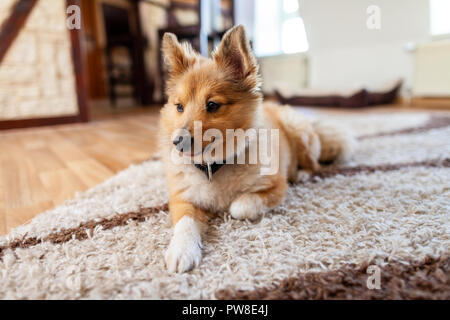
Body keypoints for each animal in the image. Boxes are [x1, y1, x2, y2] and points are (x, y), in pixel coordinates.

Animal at [158, 26, 356, 274]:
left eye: (212, 105)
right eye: (179, 107)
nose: (178, 142)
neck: (215, 166)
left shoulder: (276, 186)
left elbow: (239, 207)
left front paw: (230, 207)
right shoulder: (181, 199)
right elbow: (185, 224)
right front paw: (182, 250)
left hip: (299, 131)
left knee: (315, 165)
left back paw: (302, 174)